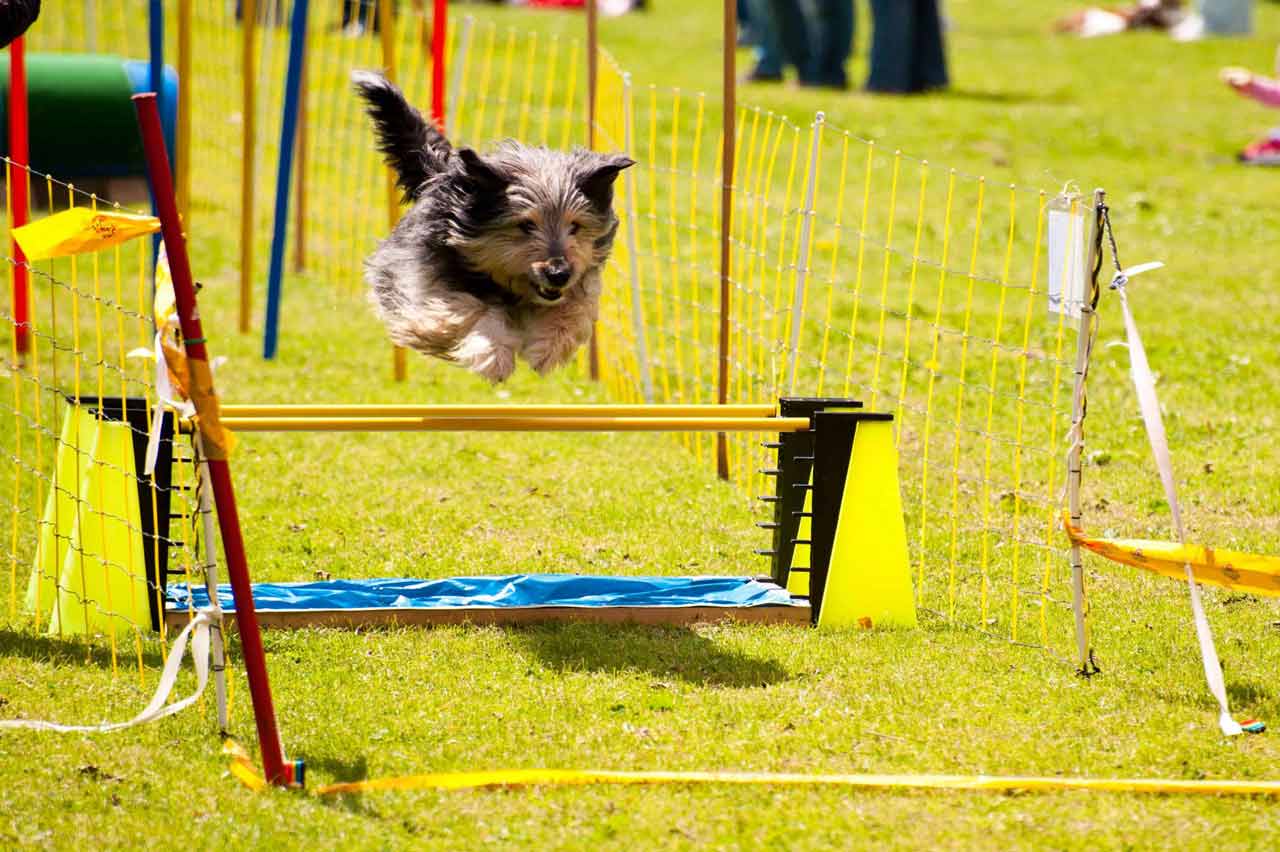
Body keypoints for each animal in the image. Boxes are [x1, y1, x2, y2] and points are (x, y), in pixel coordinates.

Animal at [353, 71, 632, 378]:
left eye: (575, 226)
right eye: (525, 225)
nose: (558, 273)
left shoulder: (580, 282)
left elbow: (575, 309)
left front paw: (547, 347)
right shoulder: (422, 283)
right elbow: (467, 310)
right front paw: (493, 355)